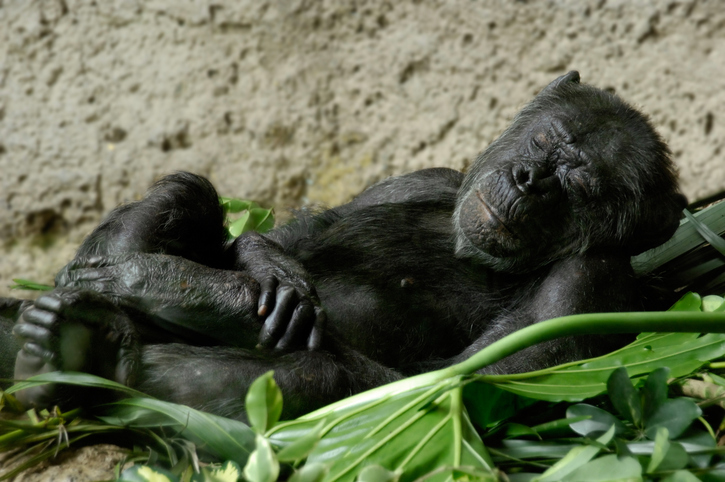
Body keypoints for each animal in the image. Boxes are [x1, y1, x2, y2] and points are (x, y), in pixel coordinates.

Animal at [1, 69, 684, 420]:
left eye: (579, 184)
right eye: (544, 141)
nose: (528, 179)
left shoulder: (589, 284)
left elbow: (447, 387)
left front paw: (173, 289)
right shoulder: (420, 179)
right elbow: (281, 238)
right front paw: (262, 276)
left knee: (323, 375)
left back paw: (79, 351)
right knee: (188, 191)